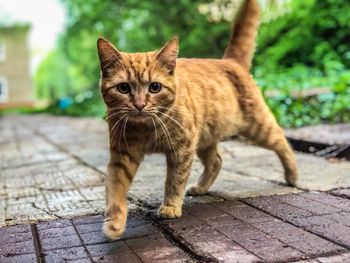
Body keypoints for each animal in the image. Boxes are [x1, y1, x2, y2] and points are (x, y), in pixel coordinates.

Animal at [97, 0, 296, 240]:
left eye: (155, 87)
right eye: (124, 88)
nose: (139, 104)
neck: (147, 129)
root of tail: (230, 61)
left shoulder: (181, 149)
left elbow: (174, 181)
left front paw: (170, 207)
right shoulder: (122, 155)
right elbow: (115, 187)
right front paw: (115, 221)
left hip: (257, 128)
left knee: (282, 141)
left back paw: (292, 175)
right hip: (205, 139)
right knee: (216, 161)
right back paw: (201, 188)